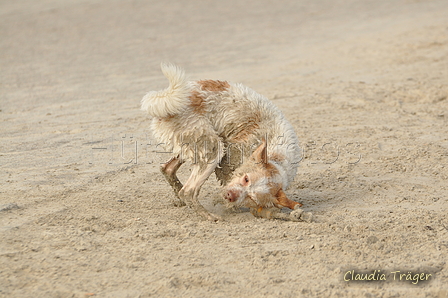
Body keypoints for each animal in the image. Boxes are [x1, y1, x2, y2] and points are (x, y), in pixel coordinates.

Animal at [143, 63, 304, 221]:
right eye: (246, 179)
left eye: (251, 198)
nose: (229, 196)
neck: (277, 157)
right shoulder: (228, 159)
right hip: (213, 149)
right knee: (188, 191)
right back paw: (208, 216)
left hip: (192, 145)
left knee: (167, 169)